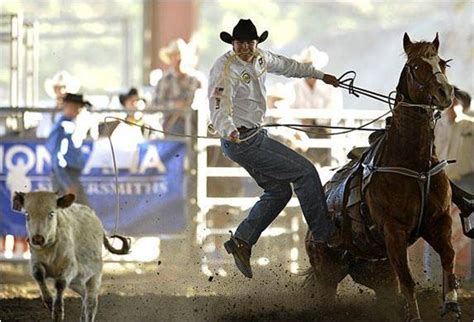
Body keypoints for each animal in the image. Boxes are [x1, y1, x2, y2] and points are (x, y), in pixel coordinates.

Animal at [304, 33, 460, 322]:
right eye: (415, 66)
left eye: (443, 63)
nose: (446, 93)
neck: (414, 165)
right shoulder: (393, 231)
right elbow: (408, 280)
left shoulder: (438, 221)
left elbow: (448, 257)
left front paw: (452, 306)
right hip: (326, 271)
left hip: (378, 273)